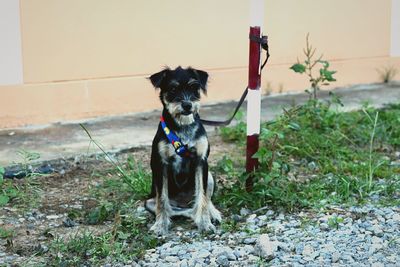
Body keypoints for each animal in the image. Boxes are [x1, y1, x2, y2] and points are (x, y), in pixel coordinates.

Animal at [145, 66, 222, 236]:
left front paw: (205, 223)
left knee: (204, 199)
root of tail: (184, 203)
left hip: (210, 176)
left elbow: (202, 196)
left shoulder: (201, 162)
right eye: (173, 89)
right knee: (179, 210)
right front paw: (160, 225)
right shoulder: (160, 165)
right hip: (148, 202)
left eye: (195, 87)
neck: (183, 126)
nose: (187, 105)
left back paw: (212, 213)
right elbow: (162, 200)